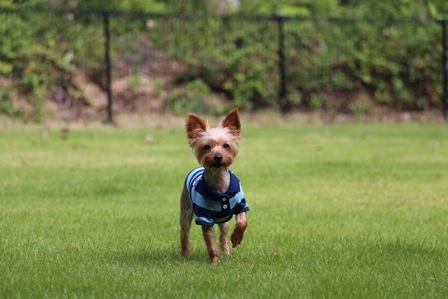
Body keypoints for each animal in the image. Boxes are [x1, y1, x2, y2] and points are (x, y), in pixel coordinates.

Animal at [179, 109, 250, 264]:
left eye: (226, 145)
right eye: (206, 147)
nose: (218, 157)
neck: (219, 185)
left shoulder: (241, 205)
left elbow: (243, 222)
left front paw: (236, 238)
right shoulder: (204, 217)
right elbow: (210, 241)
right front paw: (215, 260)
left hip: (225, 220)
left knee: (223, 236)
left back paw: (227, 252)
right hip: (185, 210)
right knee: (184, 232)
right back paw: (185, 253)